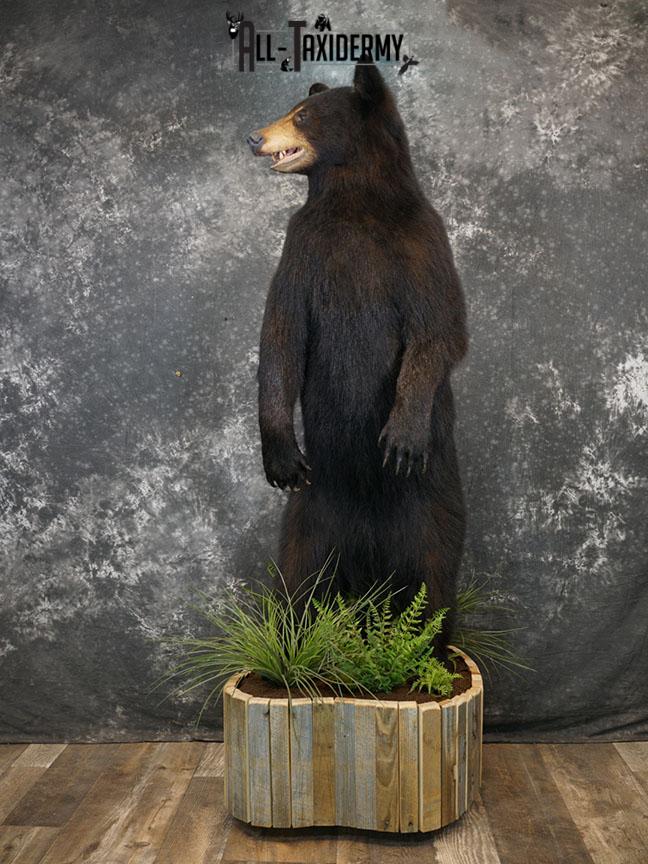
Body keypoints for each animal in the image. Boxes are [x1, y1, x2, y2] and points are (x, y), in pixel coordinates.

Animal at [247, 57, 468, 658]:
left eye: (303, 114)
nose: (253, 136)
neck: (354, 201)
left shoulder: (422, 242)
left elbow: (440, 332)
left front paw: (401, 437)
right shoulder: (302, 248)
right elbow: (281, 336)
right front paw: (280, 455)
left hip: (431, 507)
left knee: (434, 574)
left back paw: (427, 654)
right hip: (310, 516)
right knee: (296, 578)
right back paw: (296, 649)